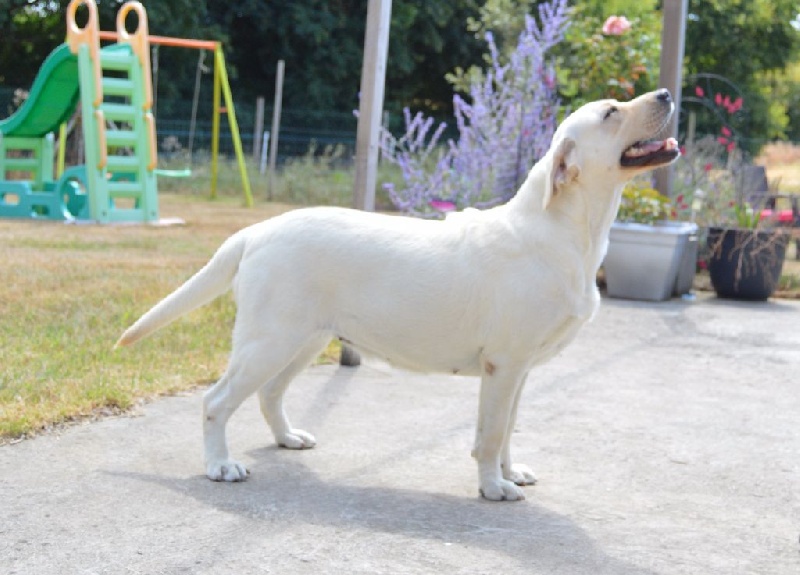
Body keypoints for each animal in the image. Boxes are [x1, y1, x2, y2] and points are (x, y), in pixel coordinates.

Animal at [117, 90, 679, 501]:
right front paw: (492, 487)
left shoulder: (520, 369)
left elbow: (509, 430)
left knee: (269, 394)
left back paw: (288, 438)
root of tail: (256, 231)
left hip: (303, 339)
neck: (569, 230)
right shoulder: (504, 364)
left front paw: (509, 473)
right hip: (268, 340)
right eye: (611, 113)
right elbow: (491, 434)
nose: (668, 93)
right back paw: (220, 465)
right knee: (216, 401)